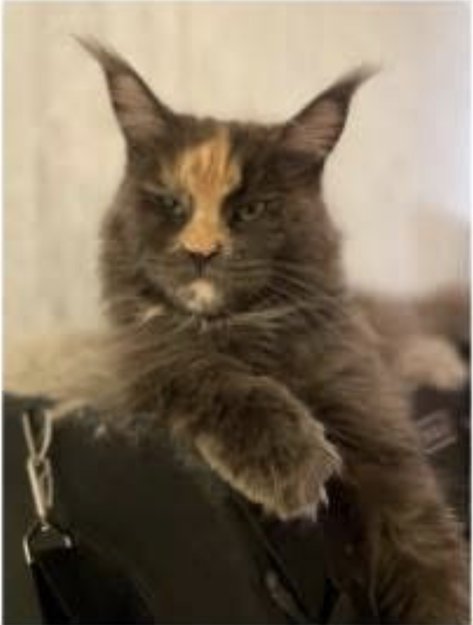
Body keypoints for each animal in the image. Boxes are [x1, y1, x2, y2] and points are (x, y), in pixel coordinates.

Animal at [79, 38, 468, 623]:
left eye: (252, 210)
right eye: (171, 204)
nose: (200, 253)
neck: (246, 332)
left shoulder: (376, 428)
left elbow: (425, 552)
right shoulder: (142, 361)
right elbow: (213, 378)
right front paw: (292, 459)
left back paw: (441, 364)